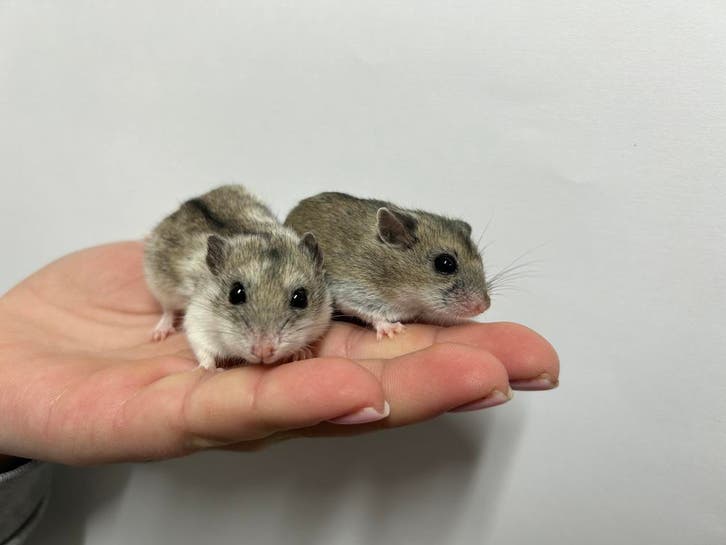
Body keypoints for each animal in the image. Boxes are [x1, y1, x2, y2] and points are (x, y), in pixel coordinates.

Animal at [144, 185, 332, 370]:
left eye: (300, 298)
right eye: (235, 294)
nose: (263, 351)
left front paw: (301, 354)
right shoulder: (197, 320)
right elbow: (203, 351)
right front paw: (211, 369)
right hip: (160, 287)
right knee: (167, 310)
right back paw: (159, 334)